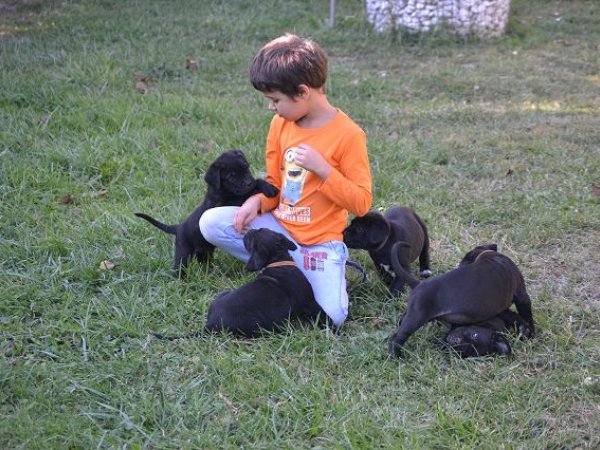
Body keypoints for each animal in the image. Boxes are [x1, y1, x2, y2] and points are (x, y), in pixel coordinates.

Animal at [135, 150, 279, 277]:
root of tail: (179, 227)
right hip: (183, 252)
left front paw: (267, 186)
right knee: (179, 267)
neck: (220, 190)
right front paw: (265, 187)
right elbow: (246, 193)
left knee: (203, 262)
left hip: (204, 251)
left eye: (246, 168)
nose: (249, 182)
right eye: (231, 176)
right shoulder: (229, 202)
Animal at [387, 243, 535, 358]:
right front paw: (532, 334)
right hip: (415, 319)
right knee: (395, 338)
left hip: (414, 314)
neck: (489, 256)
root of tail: (419, 284)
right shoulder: (522, 297)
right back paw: (396, 357)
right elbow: (528, 316)